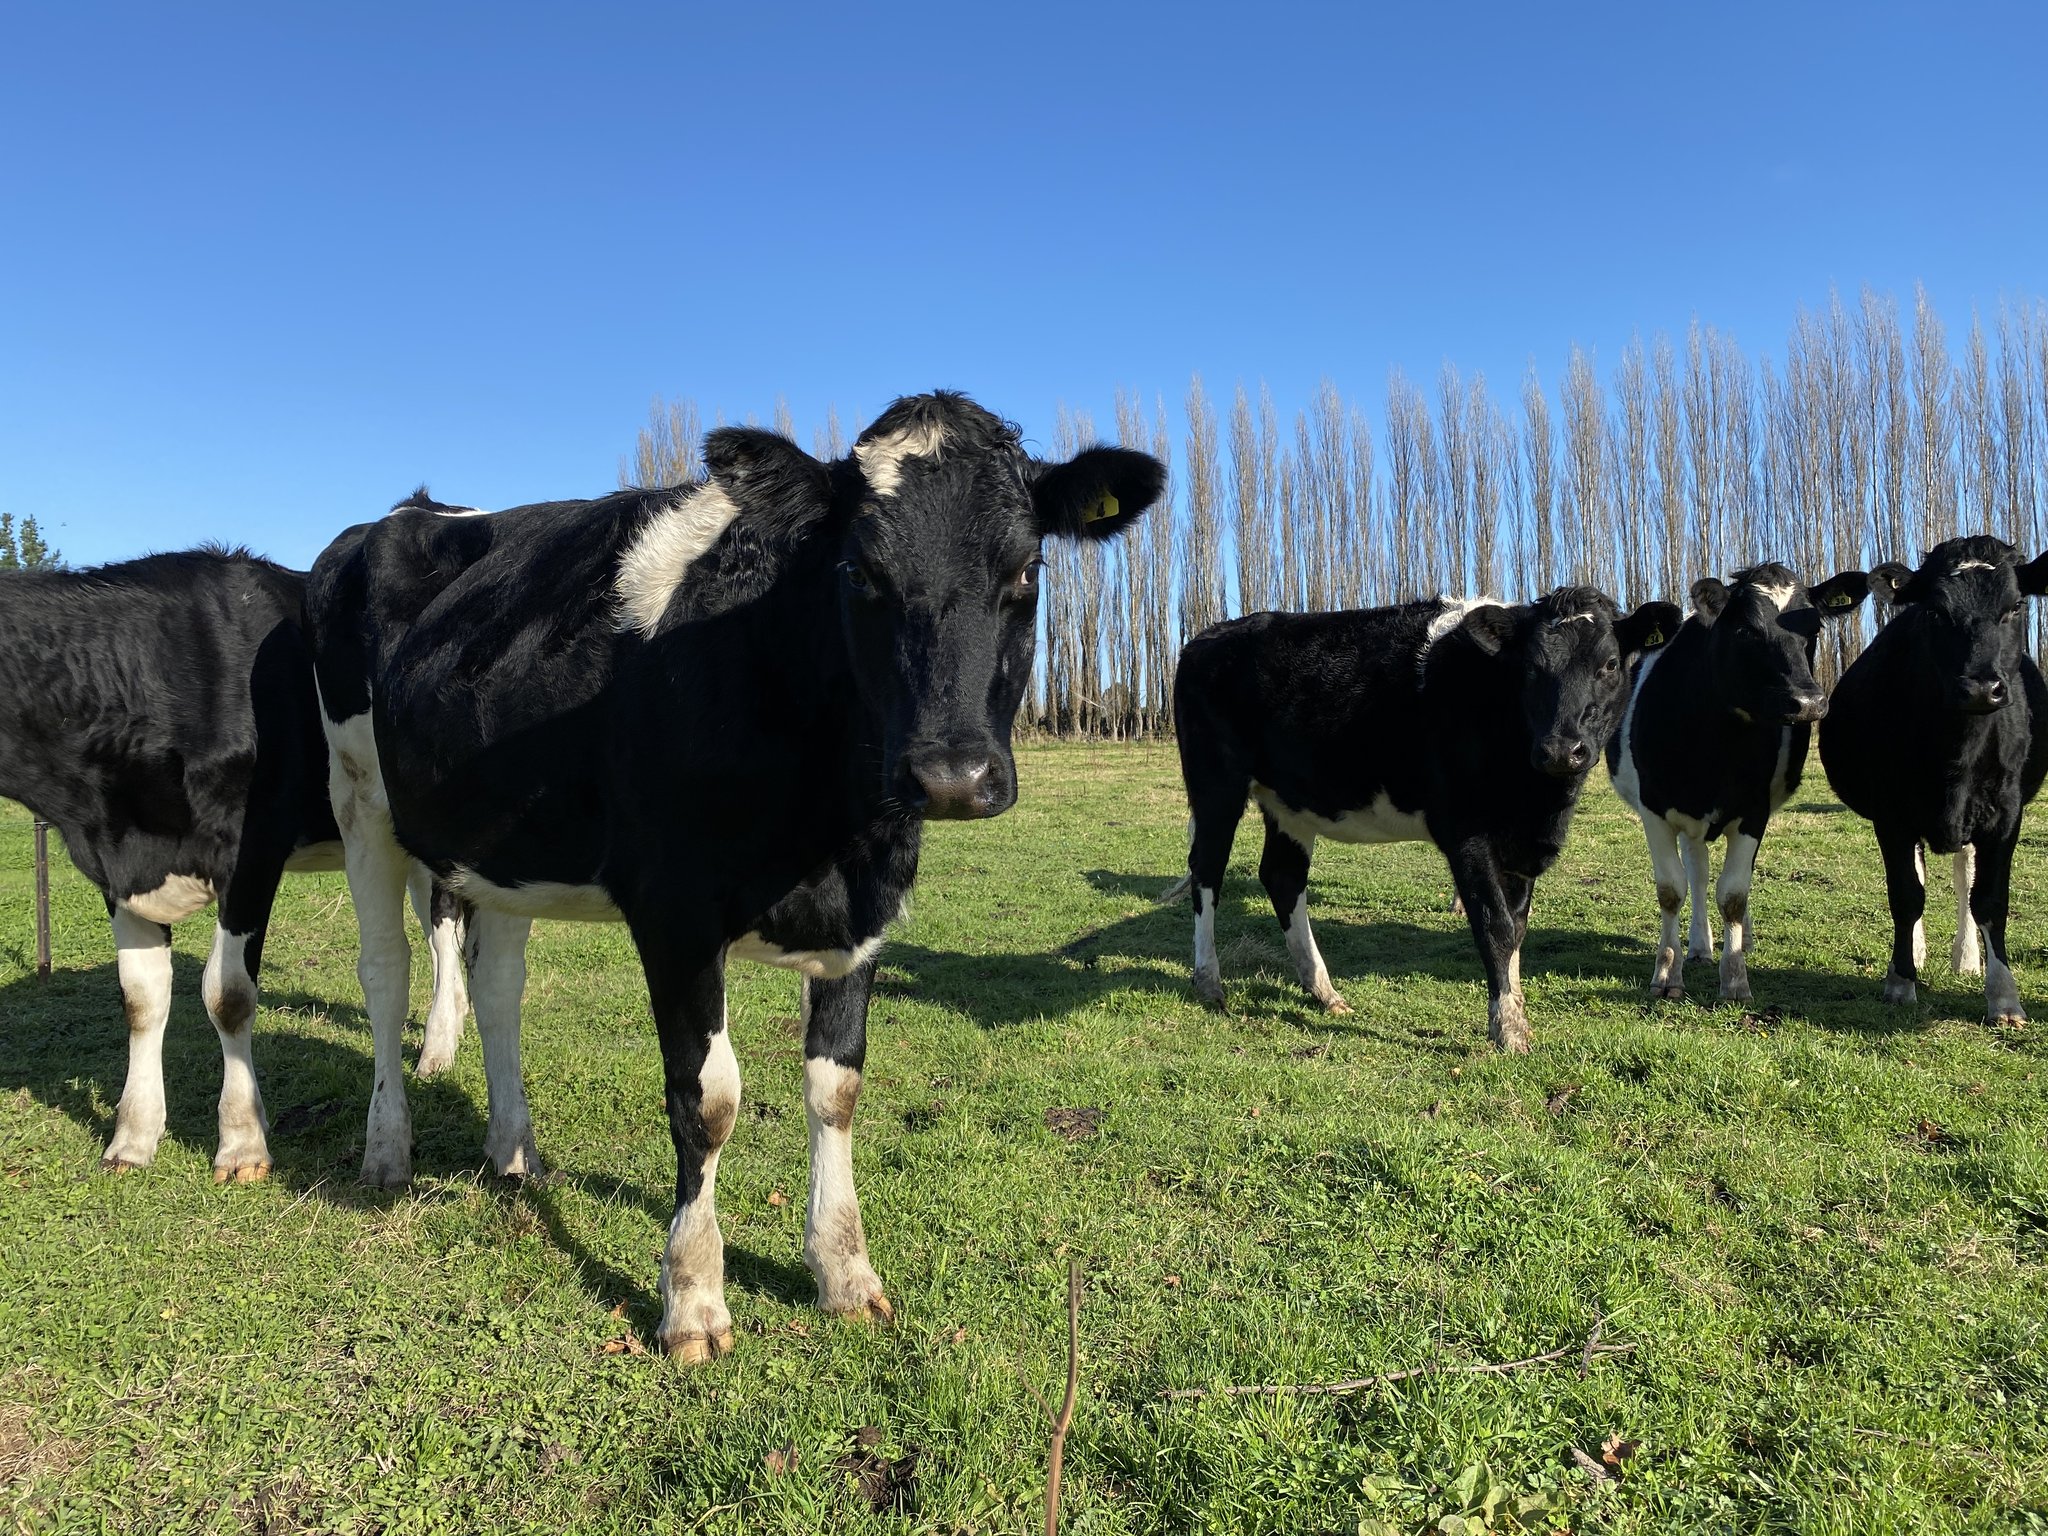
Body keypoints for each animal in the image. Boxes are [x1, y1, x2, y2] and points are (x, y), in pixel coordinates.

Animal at [0, 549, 470, 1181]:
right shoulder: (120, 871)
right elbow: (141, 998)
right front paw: (133, 1137)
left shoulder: (250, 853)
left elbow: (228, 995)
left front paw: (243, 1143)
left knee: (444, 928)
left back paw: (437, 1049)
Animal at [304, 392, 1163, 1361]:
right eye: (859, 571)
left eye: (1026, 568)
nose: (951, 775)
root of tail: (417, 510)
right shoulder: (675, 914)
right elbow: (707, 1101)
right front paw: (693, 1298)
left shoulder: (863, 917)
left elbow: (837, 1088)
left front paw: (844, 1272)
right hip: (360, 799)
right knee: (384, 974)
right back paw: (387, 1149)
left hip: (508, 847)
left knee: (499, 990)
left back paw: (515, 1151)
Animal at [1166, 586, 1680, 1051]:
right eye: (1530, 669)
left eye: (1609, 664)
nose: (1559, 750)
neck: (1537, 799)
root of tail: (1207, 637)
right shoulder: (1464, 829)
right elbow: (1494, 925)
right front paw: (1508, 1032)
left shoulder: (1522, 845)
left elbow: (1516, 928)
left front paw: (1515, 1012)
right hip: (1216, 785)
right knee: (1207, 873)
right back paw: (1209, 982)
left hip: (1291, 804)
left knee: (1282, 876)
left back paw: (1324, 992)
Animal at [1607, 563, 1872, 1002]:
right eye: (1746, 630)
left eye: (1814, 627)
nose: (1808, 703)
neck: (1716, 745)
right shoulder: (1654, 808)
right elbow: (1671, 890)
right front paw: (1666, 973)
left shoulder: (1753, 811)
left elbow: (1733, 894)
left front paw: (1734, 978)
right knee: (1696, 872)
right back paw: (1698, 946)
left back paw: (1737, 940)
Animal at [1818, 536, 2048, 1023]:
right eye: (1936, 611)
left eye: (2016, 605)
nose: (1980, 688)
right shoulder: (1891, 814)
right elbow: (1907, 894)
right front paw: (1901, 980)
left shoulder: (2005, 814)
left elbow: (1989, 900)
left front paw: (2003, 996)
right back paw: (1919, 953)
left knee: (1965, 878)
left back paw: (1967, 957)